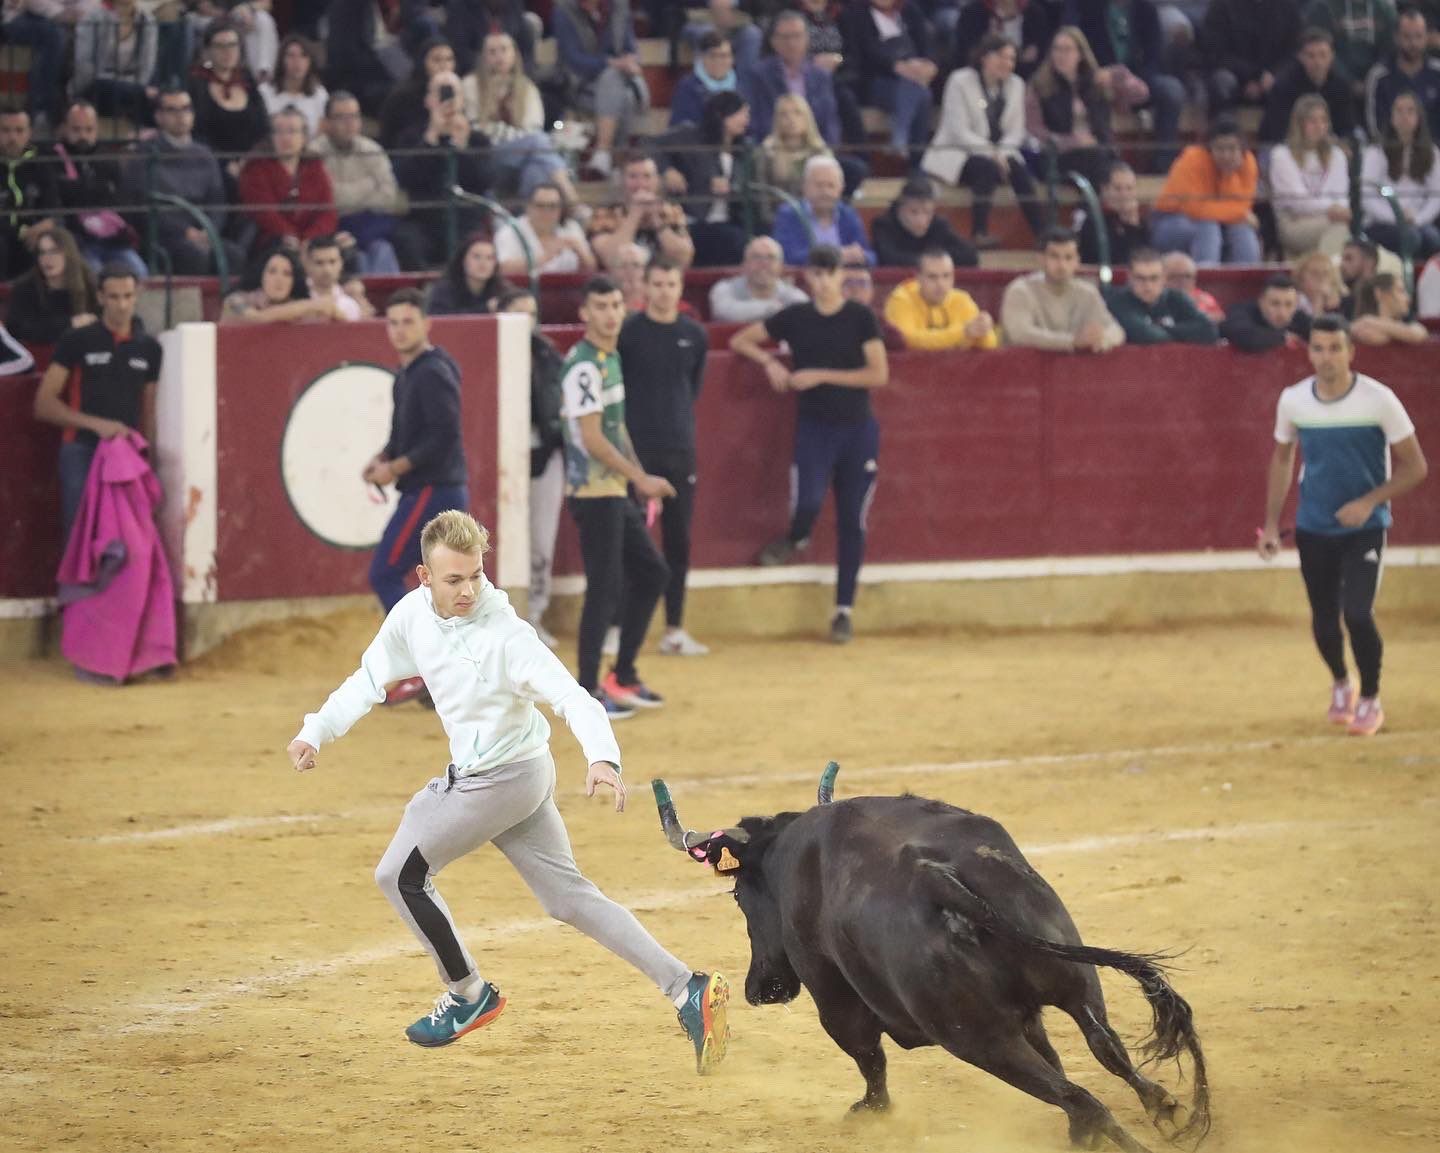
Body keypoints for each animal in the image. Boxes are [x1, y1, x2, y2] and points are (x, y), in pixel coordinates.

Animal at [659, 765, 1209, 1151]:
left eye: (738, 897)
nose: (759, 989)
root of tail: (935, 876)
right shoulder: (1032, 1013)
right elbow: (1061, 1056)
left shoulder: (833, 996)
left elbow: (868, 1058)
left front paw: (871, 1110)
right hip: (1072, 983)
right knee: (1104, 1049)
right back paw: (1161, 1110)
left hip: (977, 1040)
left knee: (1082, 1098)